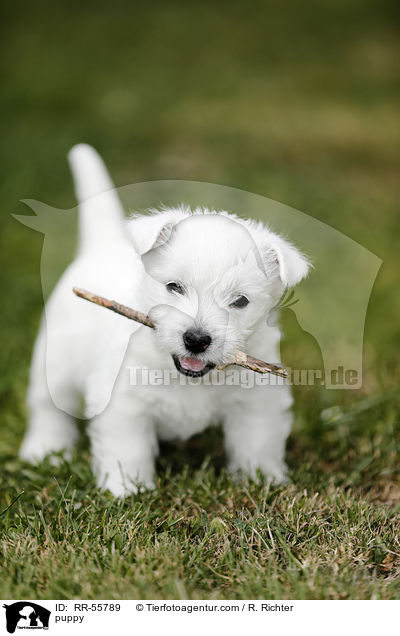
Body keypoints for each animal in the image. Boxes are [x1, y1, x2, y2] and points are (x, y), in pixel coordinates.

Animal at [20, 145, 310, 496]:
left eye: (240, 301)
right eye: (174, 287)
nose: (196, 340)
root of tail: (101, 246)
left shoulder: (257, 401)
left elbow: (258, 443)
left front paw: (262, 481)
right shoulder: (123, 402)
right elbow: (127, 448)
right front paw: (126, 490)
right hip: (55, 361)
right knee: (48, 406)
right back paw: (45, 449)